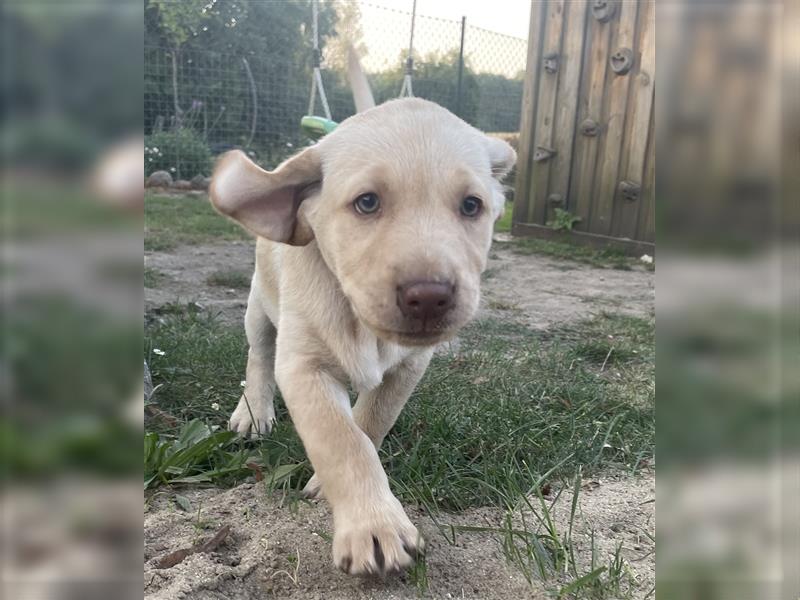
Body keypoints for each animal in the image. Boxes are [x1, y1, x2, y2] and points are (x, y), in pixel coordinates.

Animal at [209, 81, 516, 576]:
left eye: (472, 206)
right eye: (367, 202)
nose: (429, 296)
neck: (360, 323)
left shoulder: (409, 367)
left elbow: (370, 424)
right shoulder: (303, 366)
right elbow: (340, 438)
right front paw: (374, 526)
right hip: (258, 303)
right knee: (258, 353)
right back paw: (252, 413)